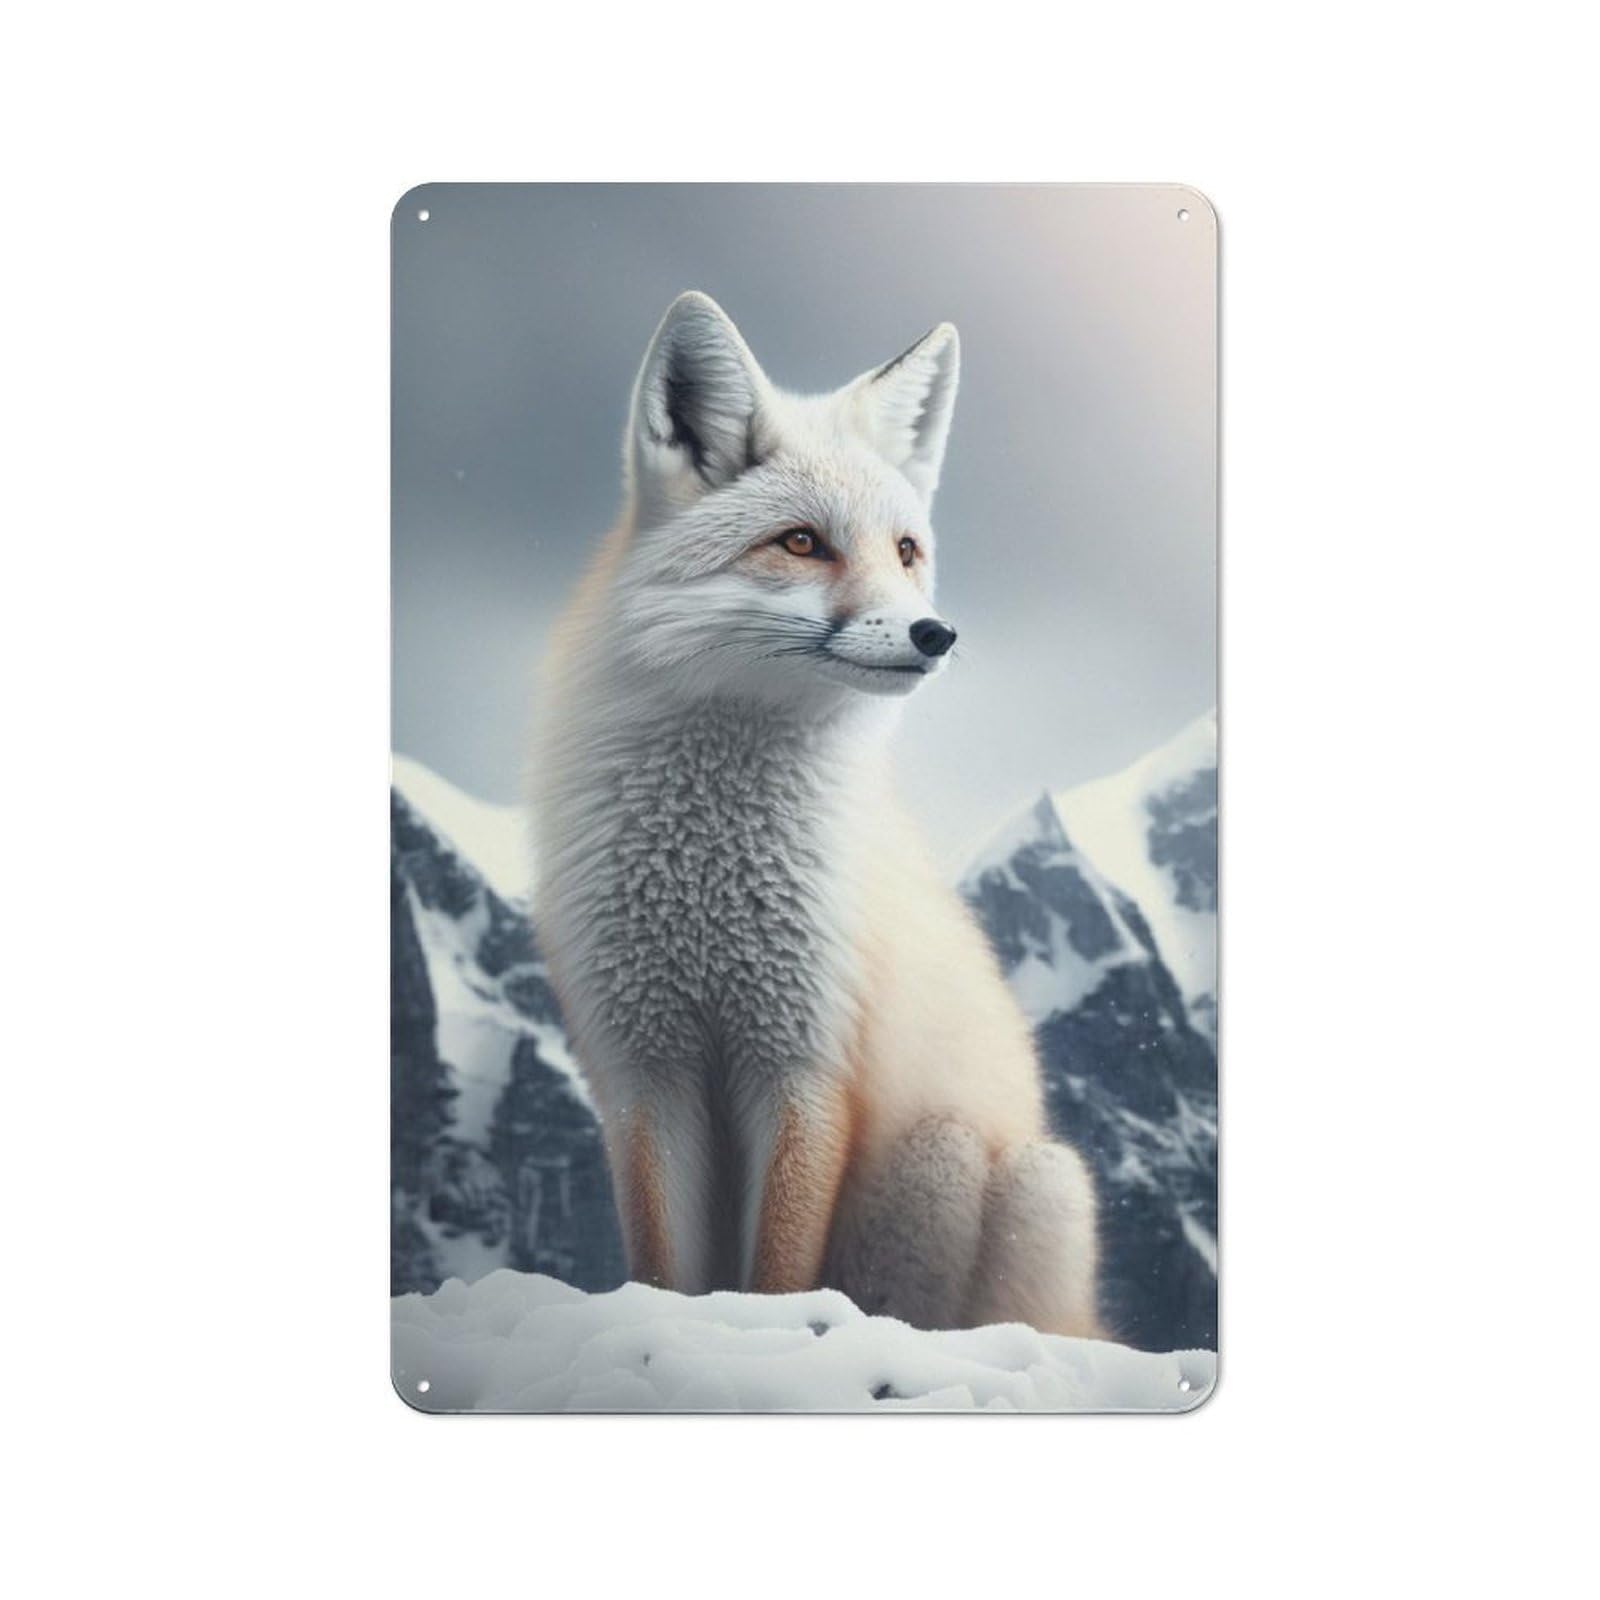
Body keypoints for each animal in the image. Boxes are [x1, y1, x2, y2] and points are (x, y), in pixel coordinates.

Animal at [531, 291, 1101, 1337]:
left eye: (907, 552)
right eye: (802, 542)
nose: (936, 633)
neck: (708, 869)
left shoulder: (807, 1058)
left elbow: (779, 1272)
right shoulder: (644, 1063)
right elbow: (666, 1272)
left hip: (999, 1169)